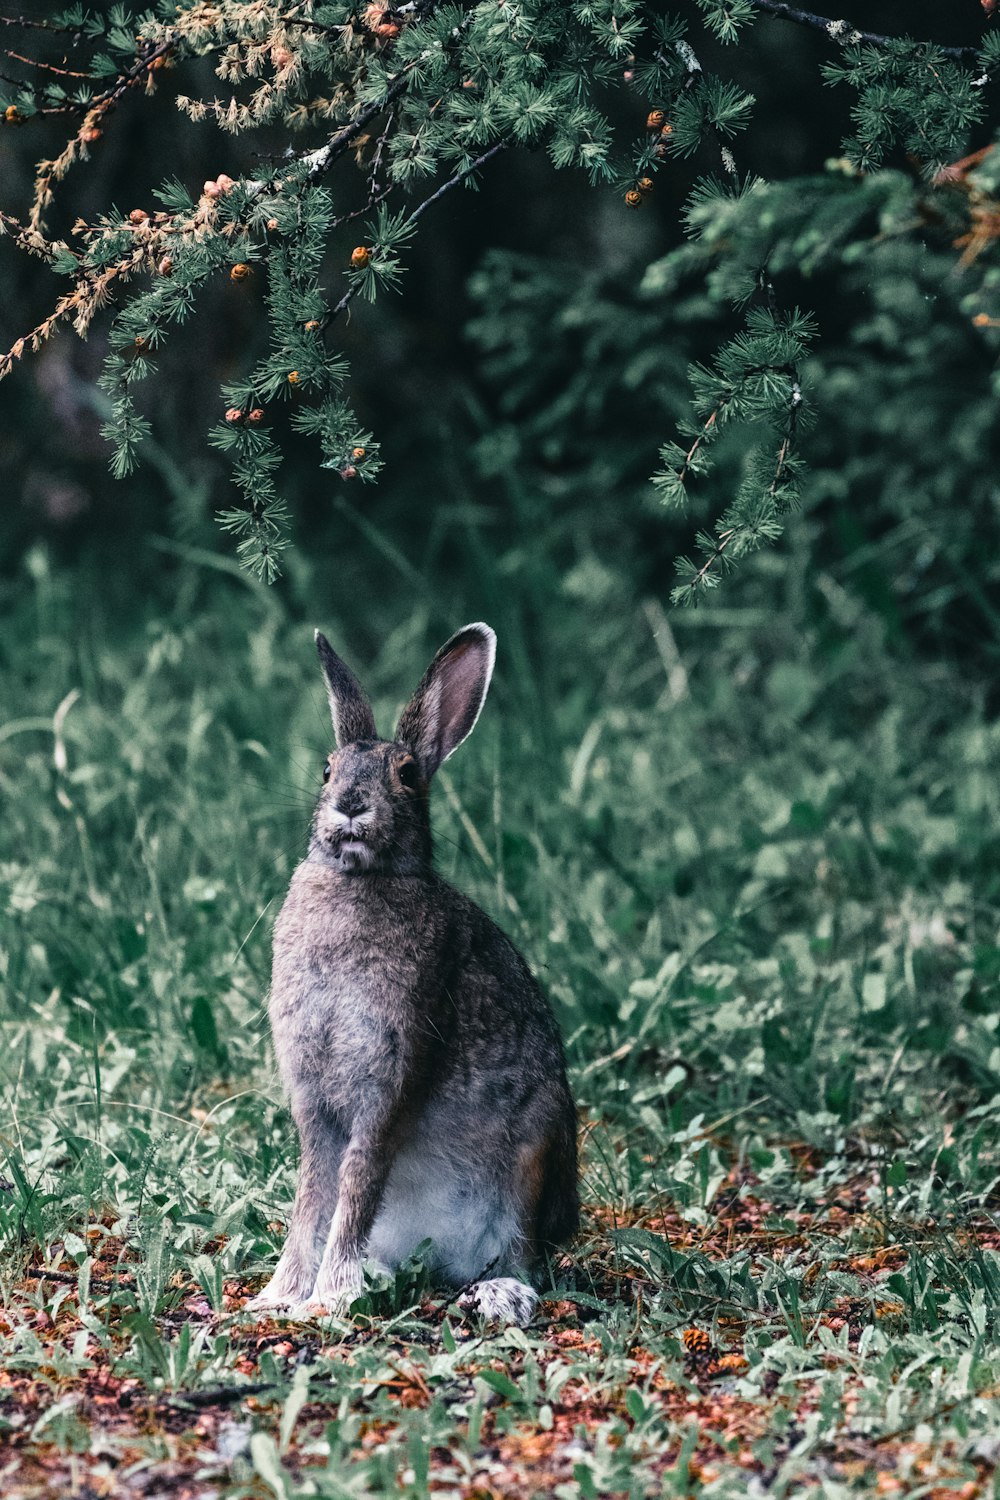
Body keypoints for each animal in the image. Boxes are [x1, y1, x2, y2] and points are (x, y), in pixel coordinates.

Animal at [250, 621, 578, 1326]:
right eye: (327, 768)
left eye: (404, 774)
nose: (349, 805)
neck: (360, 880)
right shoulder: (314, 1097)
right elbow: (313, 1196)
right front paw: (280, 1297)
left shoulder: (393, 1074)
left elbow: (356, 1183)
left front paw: (328, 1299)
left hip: (535, 1153)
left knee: (520, 1253)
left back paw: (498, 1292)